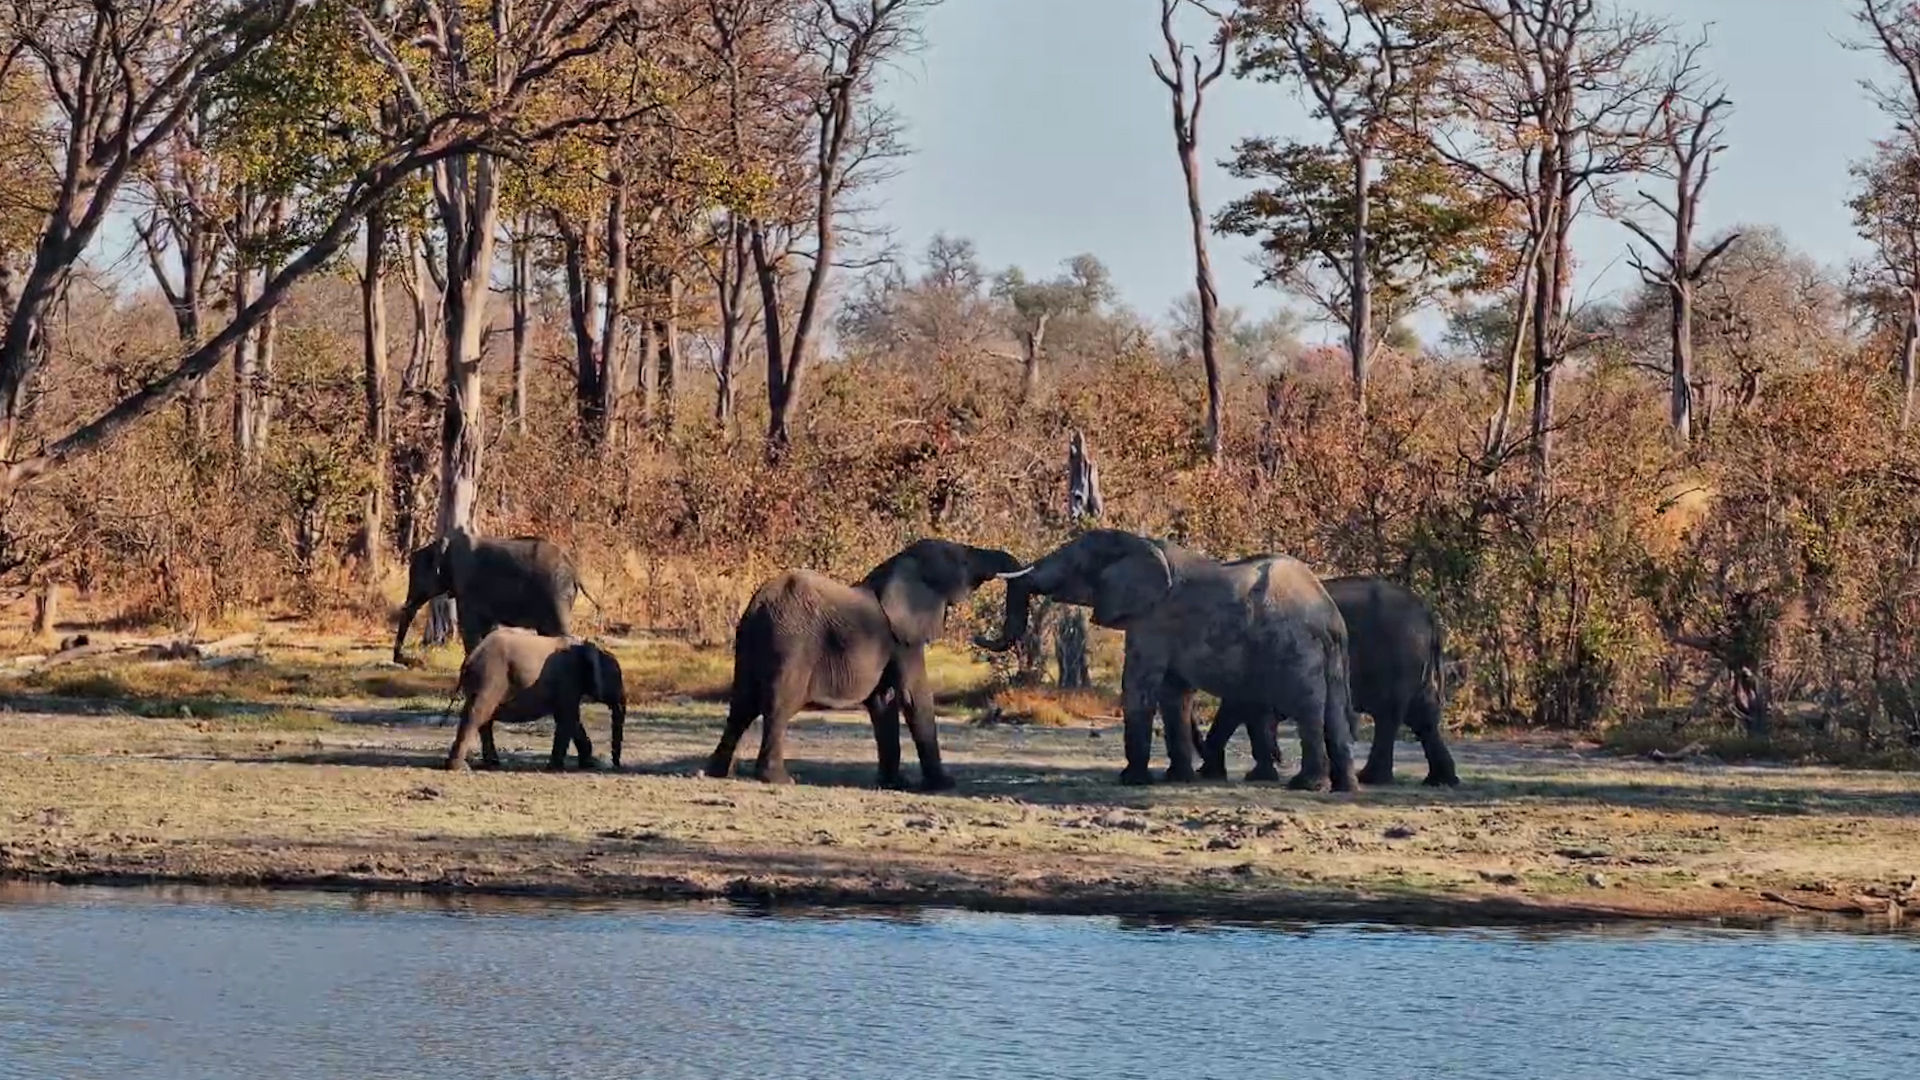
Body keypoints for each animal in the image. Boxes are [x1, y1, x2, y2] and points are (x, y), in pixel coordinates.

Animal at [392, 527, 595, 664]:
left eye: (418, 577)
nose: (404, 659)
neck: (442, 545)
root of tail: (574, 568)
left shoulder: (468, 585)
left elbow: (470, 628)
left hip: (556, 593)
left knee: (558, 631)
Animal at [446, 626, 627, 772]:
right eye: (616, 680)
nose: (615, 764)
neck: (586, 647)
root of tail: (470, 658)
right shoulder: (568, 678)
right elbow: (567, 718)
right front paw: (555, 768)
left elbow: (570, 719)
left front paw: (589, 764)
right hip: (489, 677)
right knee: (477, 714)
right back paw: (461, 768)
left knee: (484, 720)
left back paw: (492, 763)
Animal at [705, 538, 1021, 790]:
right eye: (962, 559)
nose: (978, 636)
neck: (897, 567)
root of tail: (759, 605)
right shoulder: (904, 639)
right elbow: (913, 696)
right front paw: (943, 785)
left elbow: (883, 701)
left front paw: (895, 783)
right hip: (790, 643)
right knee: (778, 707)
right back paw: (779, 779)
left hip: (750, 642)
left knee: (741, 706)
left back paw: (717, 772)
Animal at [974, 529, 1356, 790]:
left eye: (1074, 562)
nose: (977, 637)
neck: (1140, 543)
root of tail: (1328, 613)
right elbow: (1174, 696)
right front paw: (1178, 778)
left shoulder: (1152, 621)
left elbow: (1139, 686)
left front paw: (1131, 779)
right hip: (1330, 656)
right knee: (1334, 712)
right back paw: (1342, 787)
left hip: (1296, 647)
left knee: (1307, 706)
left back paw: (1306, 785)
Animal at [1197, 575, 1459, 787]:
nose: (1279, 756)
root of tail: (1429, 615)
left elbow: (1238, 707)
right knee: (1422, 716)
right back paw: (1440, 780)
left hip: (1398, 657)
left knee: (1390, 715)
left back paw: (1372, 778)